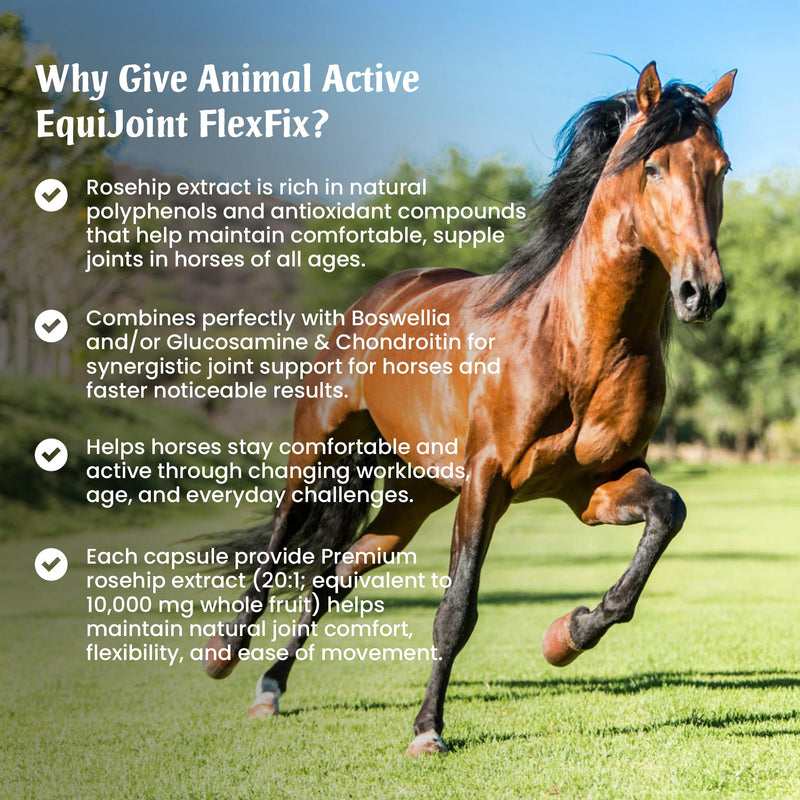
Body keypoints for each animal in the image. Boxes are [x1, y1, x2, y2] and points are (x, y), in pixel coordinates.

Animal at [201, 62, 736, 756]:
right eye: (652, 168)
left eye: (720, 168)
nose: (703, 291)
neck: (574, 343)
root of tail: (384, 295)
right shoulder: (488, 480)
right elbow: (456, 610)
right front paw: (428, 730)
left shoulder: (597, 486)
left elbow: (666, 516)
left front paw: (566, 636)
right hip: (319, 452)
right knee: (276, 549)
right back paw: (225, 657)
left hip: (414, 495)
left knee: (331, 577)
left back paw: (271, 687)